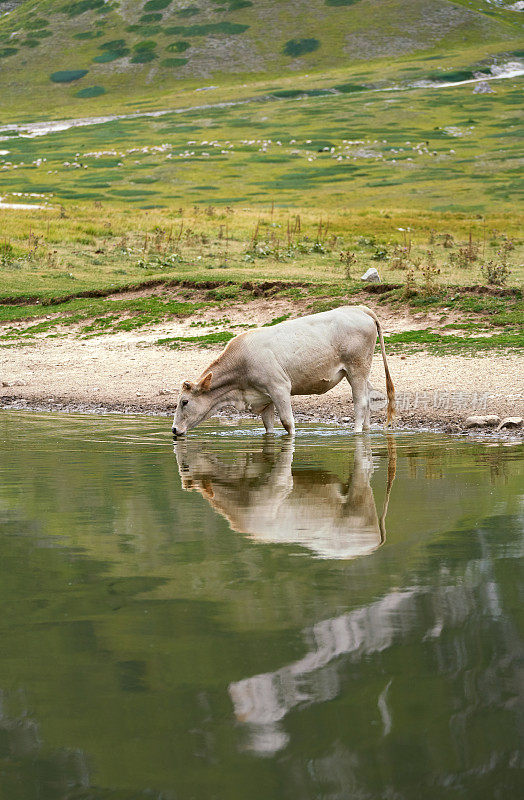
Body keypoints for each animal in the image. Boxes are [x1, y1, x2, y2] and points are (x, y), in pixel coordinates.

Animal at [172, 304, 392, 432]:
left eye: (184, 402)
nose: (173, 430)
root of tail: (359, 309)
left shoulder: (279, 387)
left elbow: (287, 422)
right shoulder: (264, 397)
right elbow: (268, 426)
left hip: (357, 368)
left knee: (361, 402)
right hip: (361, 371)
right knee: (368, 398)